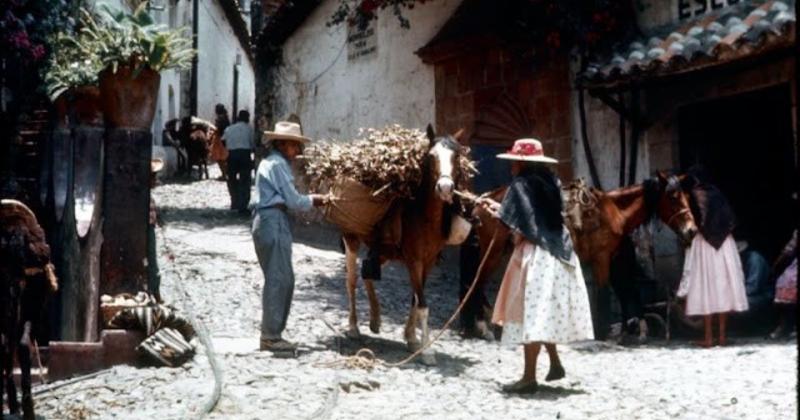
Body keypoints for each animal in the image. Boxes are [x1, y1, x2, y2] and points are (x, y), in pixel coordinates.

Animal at [342, 124, 466, 364]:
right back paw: (353, 327)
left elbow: (415, 300)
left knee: (367, 273)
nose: (445, 187)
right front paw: (426, 351)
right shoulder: (414, 262)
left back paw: (376, 319)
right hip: (351, 239)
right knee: (351, 280)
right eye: (431, 156)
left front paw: (412, 339)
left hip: (384, 251)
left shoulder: (427, 263)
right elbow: (423, 304)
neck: (423, 217)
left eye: (456, 156)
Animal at [466, 172, 696, 340]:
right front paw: (603, 333)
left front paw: (629, 331)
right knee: (477, 282)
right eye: (673, 198)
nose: (691, 230)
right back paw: (483, 328)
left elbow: (624, 290)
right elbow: (604, 293)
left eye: (686, 197)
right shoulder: (602, 259)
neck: (614, 212)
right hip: (493, 252)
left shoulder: (614, 259)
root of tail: (483, 201)